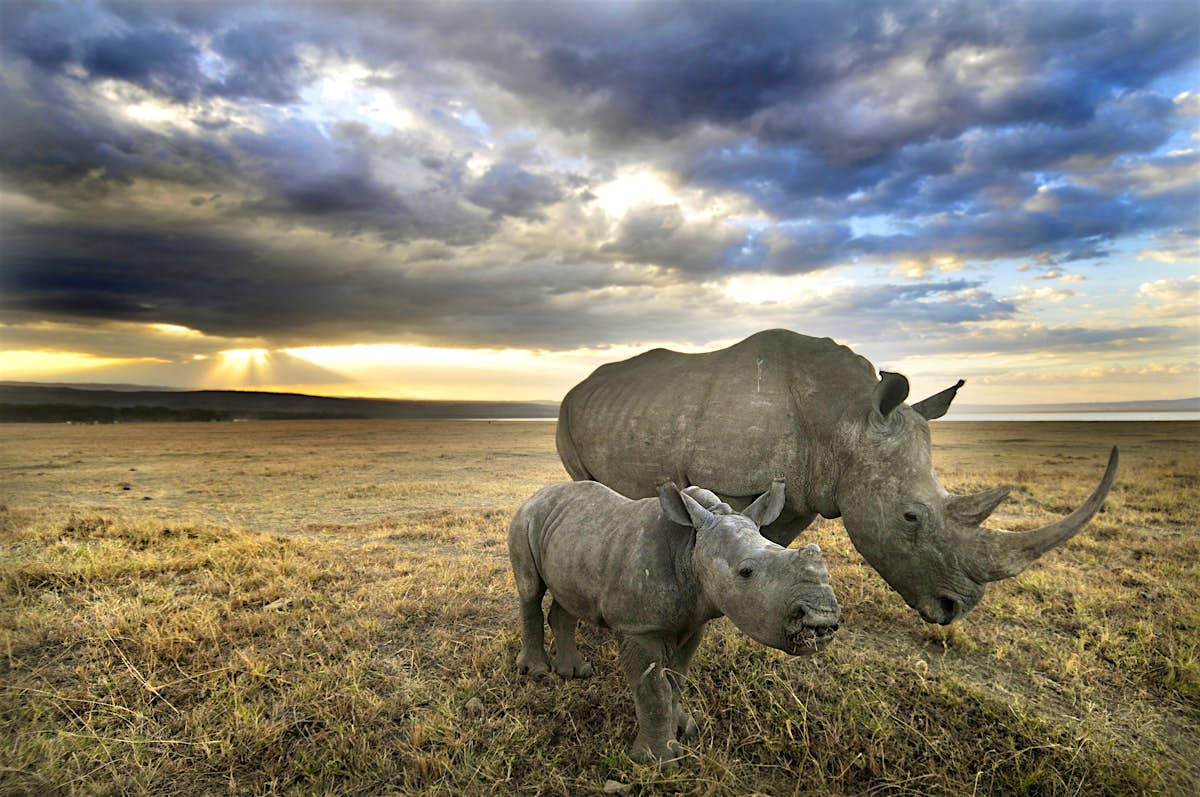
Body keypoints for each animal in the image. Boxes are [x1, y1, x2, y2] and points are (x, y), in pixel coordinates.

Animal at [504, 475, 835, 768]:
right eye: (746, 572)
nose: (823, 618)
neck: (691, 547)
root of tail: (536, 494)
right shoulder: (639, 627)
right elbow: (654, 688)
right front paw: (658, 761)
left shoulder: (694, 621)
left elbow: (677, 679)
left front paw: (685, 730)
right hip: (524, 519)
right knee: (530, 590)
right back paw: (537, 672)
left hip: (573, 537)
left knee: (567, 597)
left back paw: (575, 673)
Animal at [556, 326, 1118, 624]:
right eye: (911, 517)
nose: (954, 609)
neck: (844, 419)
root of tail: (579, 384)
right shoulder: (732, 480)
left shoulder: (805, 488)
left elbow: (771, 545)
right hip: (567, 412)